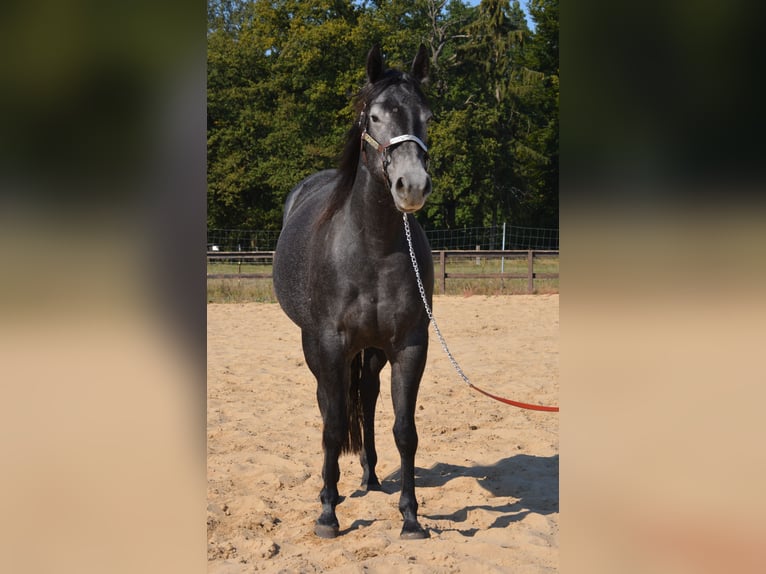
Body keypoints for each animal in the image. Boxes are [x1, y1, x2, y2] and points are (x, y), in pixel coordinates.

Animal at [273, 45, 434, 540]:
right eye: (375, 116)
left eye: (427, 116)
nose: (411, 186)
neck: (373, 247)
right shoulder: (329, 344)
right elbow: (332, 425)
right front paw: (328, 511)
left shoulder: (409, 345)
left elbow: (405, 429)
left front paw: (411, 516)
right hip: (319, 348)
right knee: (332, 404)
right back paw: (339, 490)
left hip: (373, 351)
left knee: (365, 396)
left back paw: (370, 474)